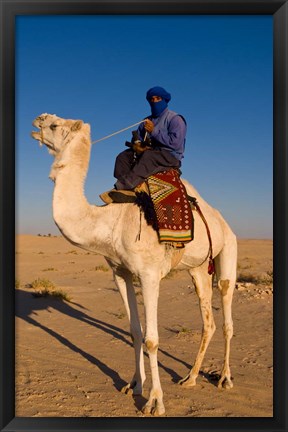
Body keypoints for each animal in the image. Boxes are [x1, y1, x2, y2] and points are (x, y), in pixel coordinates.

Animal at [32, 113, 238, 416]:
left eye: (56, 125)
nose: (38, 120)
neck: (110, 221)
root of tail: (223, 221)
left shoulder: (149, 274)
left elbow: (152, 339)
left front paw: (155, 401)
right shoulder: (120, 272)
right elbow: (135, 331)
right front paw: (134, 385)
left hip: (228, 250)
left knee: (225, 311)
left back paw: (224, 378)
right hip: (198, 269)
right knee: (208, 320)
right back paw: (190, 378)